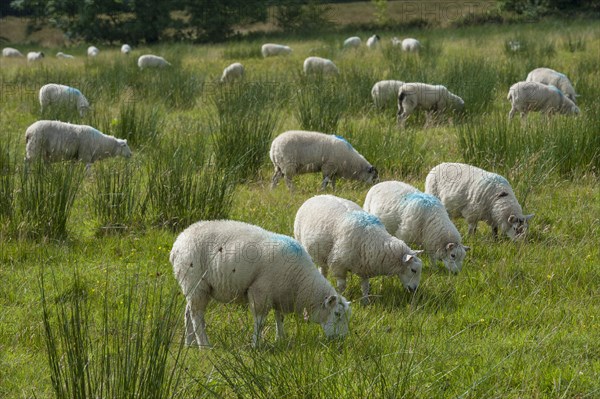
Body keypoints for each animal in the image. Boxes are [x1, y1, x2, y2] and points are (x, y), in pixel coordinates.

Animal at [170, 220, 352, 348]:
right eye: (337, 314)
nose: (341, 340)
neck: (301, 282)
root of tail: (177, 244)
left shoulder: (279, 293)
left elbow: (279, 317)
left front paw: (281, 338)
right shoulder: (260, 292)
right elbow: (260, 322)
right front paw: (255, 344)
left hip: (192, 286)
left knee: (188, 312)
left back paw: (189, 344)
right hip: (196, 283)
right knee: (197, 316)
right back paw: (204, 345)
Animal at [294, 194, 424, 304]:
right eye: (413, 270)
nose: (414, 289)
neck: (374, 240)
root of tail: (316, 196)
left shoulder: (365, 267)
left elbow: (365, 287)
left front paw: (366, 302)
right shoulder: (338, 265)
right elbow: (341, 286)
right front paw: (341, 298)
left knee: (323, 269)